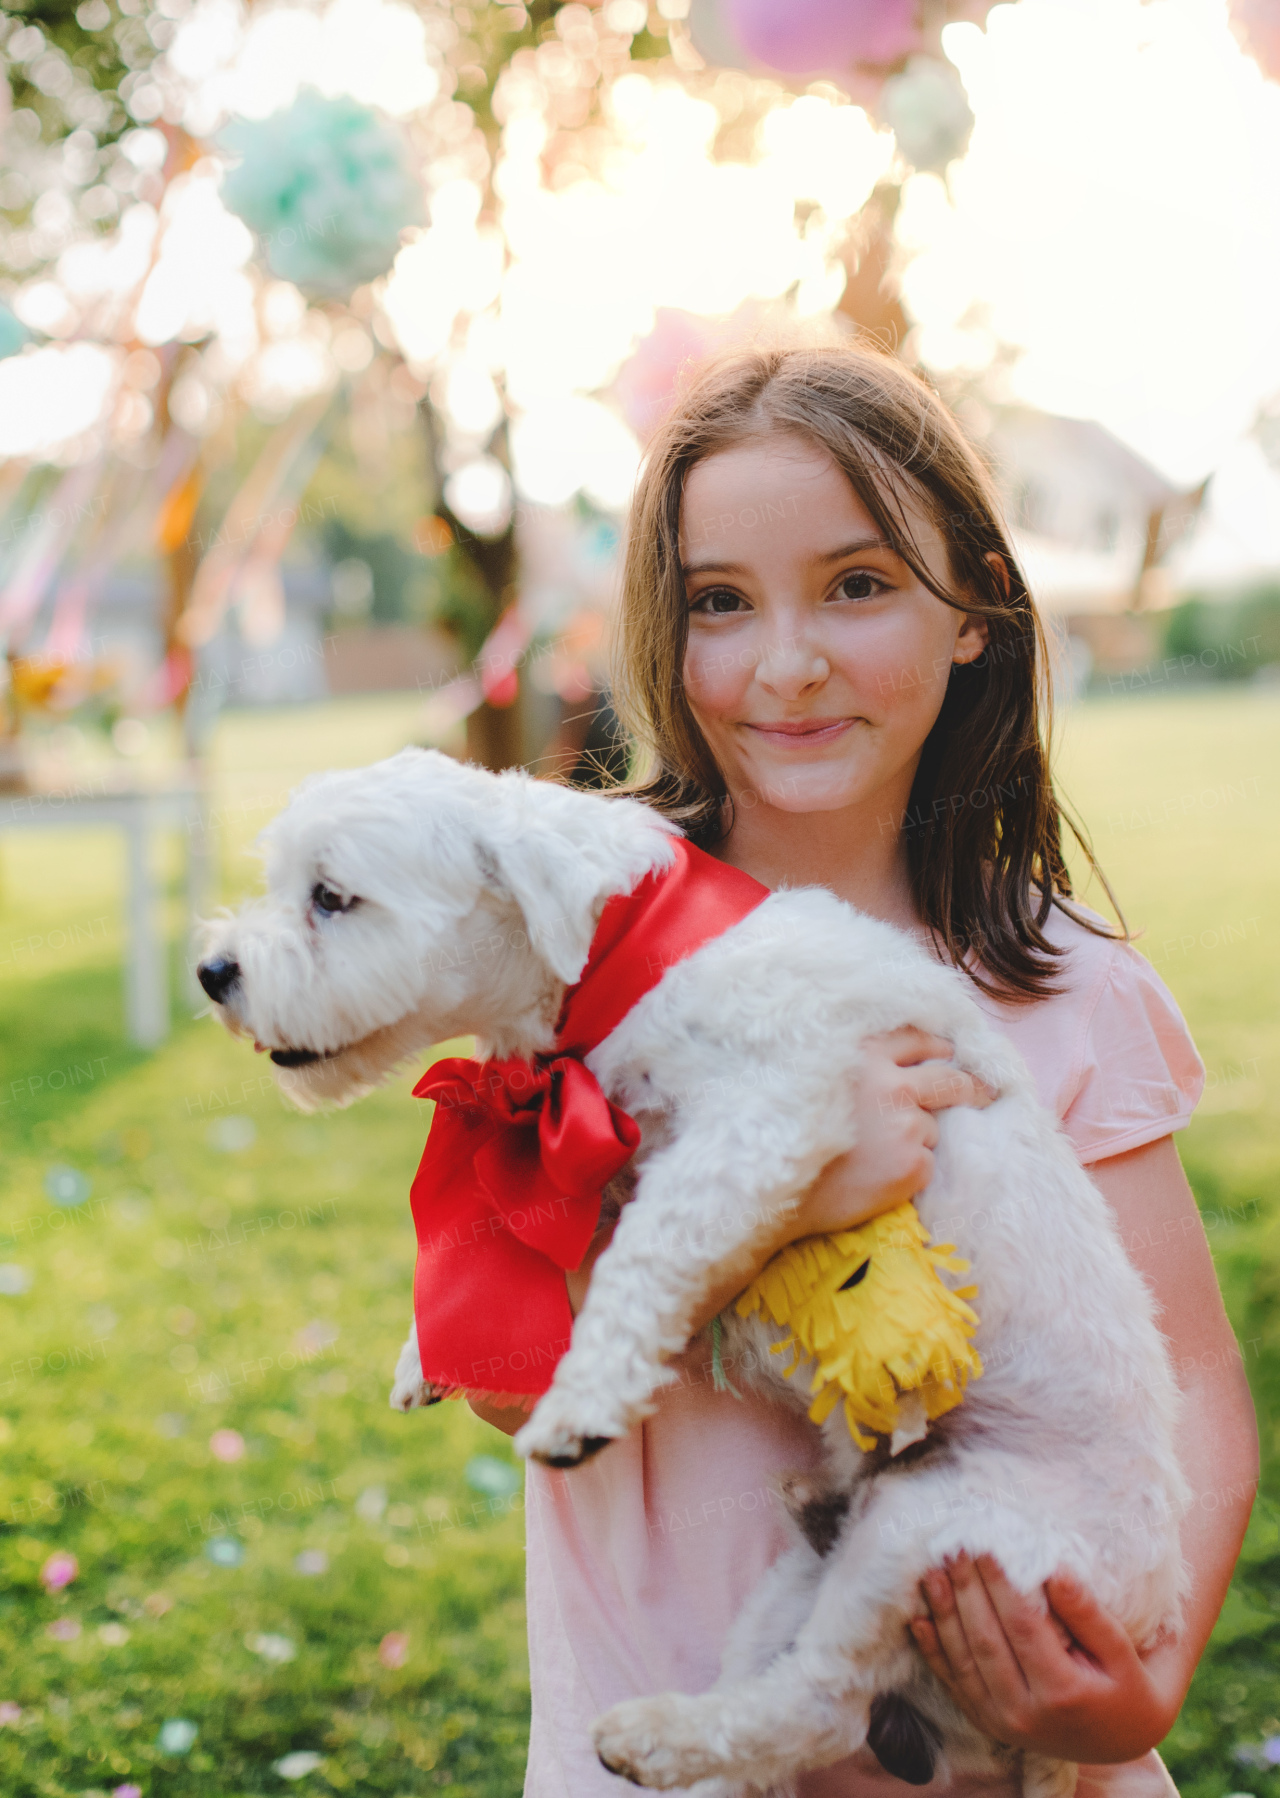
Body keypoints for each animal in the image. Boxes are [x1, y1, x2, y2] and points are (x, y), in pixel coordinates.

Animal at [199, 744, 1186, 1798]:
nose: (212, 972)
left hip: (942, 1532)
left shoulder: (763, 1119)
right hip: (808, 1582)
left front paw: (581, 1400)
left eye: (332, 897)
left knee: (819, 1704)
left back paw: (652, 1734)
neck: (634, 951)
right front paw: (432, 1347)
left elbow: (643, 1253)